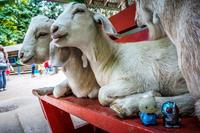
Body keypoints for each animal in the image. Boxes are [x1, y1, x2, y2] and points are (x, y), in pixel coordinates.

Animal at [50, 2, 195, 118]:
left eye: (79, 10)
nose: (53, 29)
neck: (110, 58)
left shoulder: (139, 80)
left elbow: (102, 94)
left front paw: (149, 94)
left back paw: (127, 104)